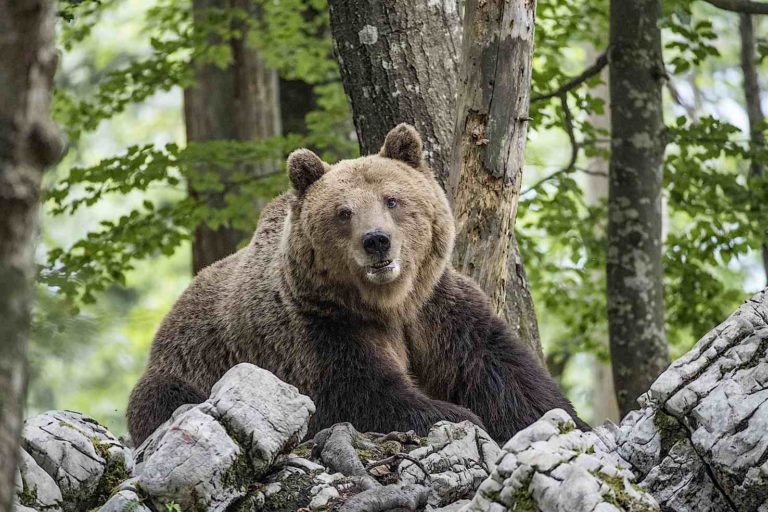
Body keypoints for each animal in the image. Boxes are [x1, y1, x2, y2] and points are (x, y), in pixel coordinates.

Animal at [126, 123, 587, 446]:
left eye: (393, 199)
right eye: (343, 212)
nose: (376, 240)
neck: (389, 302)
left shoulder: (436, 307)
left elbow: (498, 366)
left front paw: (566, 419)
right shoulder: (321, 327)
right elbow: (360, 393)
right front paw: (460, 416)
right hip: (187, 364)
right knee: (162, 399)